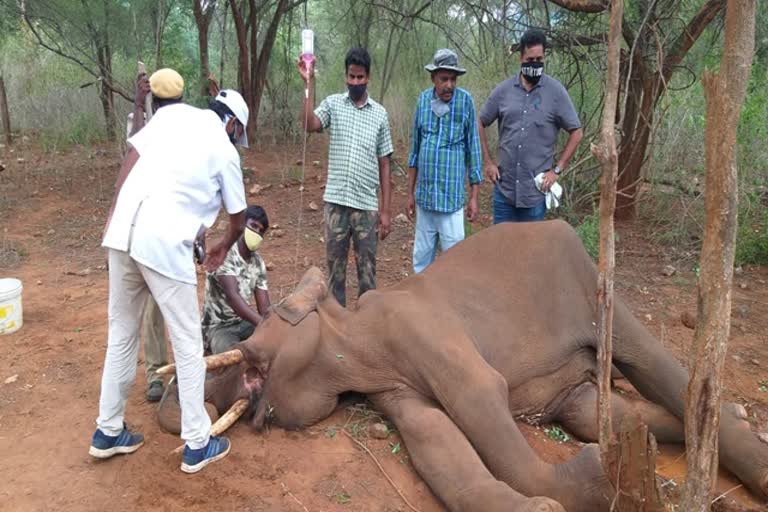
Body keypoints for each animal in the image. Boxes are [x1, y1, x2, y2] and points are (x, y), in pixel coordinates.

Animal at [159, 220, 764, 512]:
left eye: (254, 348)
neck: (352, 328)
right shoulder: (392, 386)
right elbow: (435, 441)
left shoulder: (419, 329)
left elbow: (479, 395)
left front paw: (597, 482)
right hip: (578, 382)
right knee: (604, 414)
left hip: (595, 289)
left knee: (654, 369)